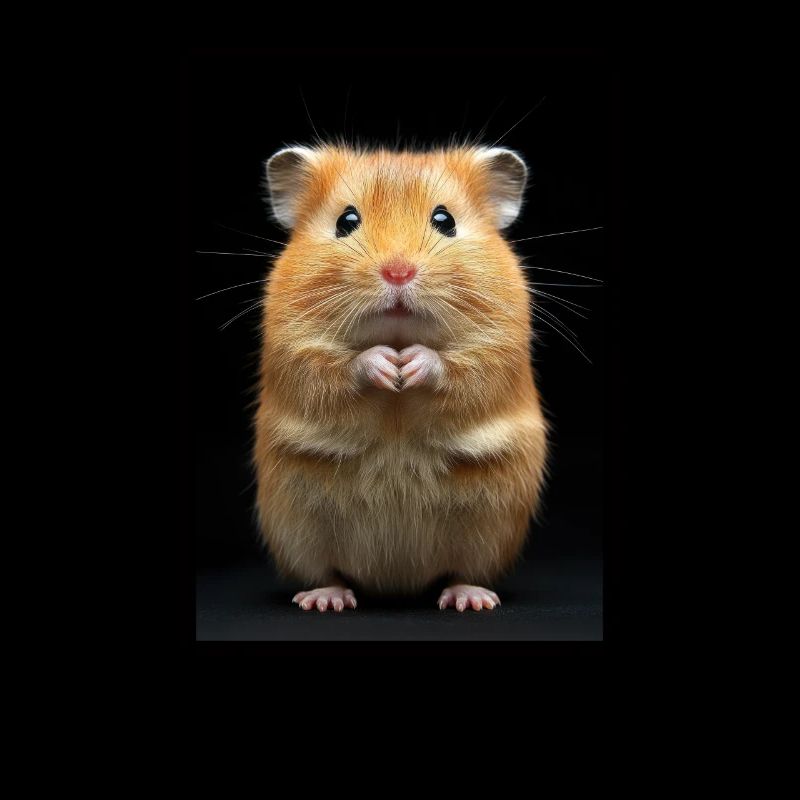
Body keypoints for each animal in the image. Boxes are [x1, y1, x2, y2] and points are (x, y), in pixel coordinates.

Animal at [253, 144, 548, 612]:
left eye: (444, 220)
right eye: (346, 221)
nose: (397, 272)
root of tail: (395, 584)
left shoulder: (499, 346)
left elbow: (465, 368)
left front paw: (409, 365)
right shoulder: (293, 346)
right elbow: (331, 366)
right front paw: (386, 367)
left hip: (491, 527)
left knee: (463, 572)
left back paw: (470, 599)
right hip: (296, 527)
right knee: (326, 572)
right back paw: (326, 599)